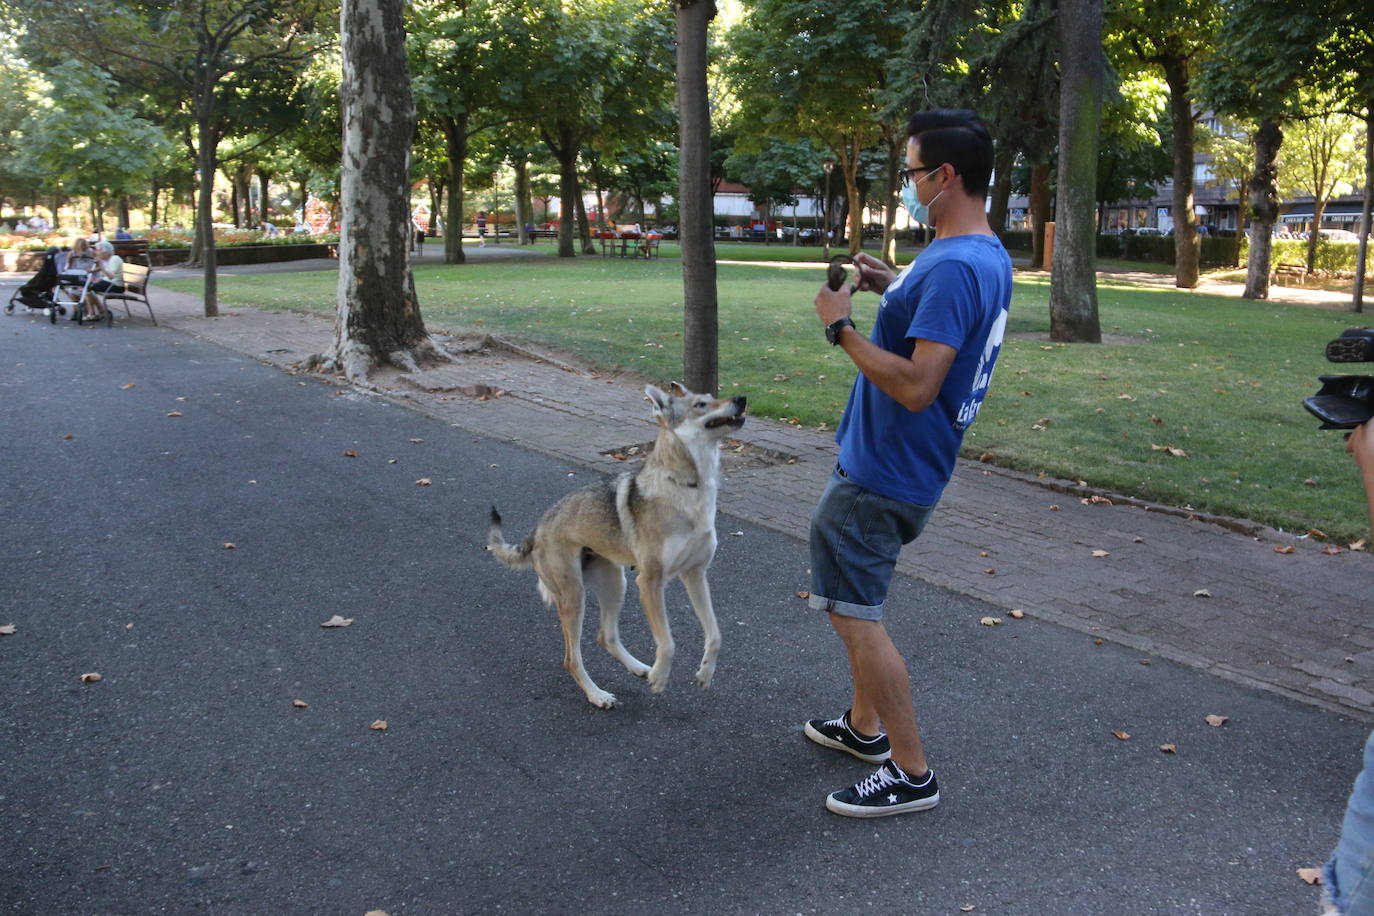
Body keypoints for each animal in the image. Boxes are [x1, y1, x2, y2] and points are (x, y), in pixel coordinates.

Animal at [491, 384, 752, 708]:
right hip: (576, 597)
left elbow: (715, 635)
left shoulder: (695, 574)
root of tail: (536, 529)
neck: (690, 488)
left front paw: (704, 673)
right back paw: (598, 695)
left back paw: (639, 668)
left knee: (605, 636)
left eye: (713, 396)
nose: (742, 398)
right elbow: (668, 643)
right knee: (572, 659)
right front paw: (660, 677)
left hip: (616, 584)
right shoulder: (650, 583)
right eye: (701, 404)